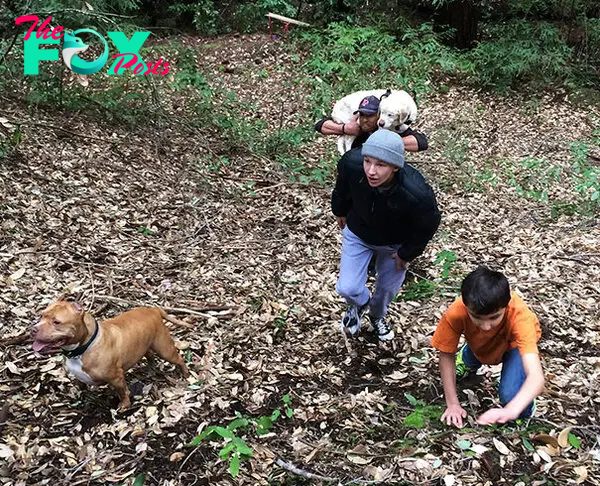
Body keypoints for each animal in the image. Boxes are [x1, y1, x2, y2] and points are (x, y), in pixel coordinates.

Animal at [31, 298, 190, 408]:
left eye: (56, 322)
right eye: (41, 316)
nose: (34, 328)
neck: (83, 347)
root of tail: (154, 310)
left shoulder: (116, 378)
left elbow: (123, 392)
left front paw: (124, 405)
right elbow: (80, 385)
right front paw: (79, 394)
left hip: (164, 349)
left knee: (179, 359)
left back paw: (186, 374)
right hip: (146, 345)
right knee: (149, 355)